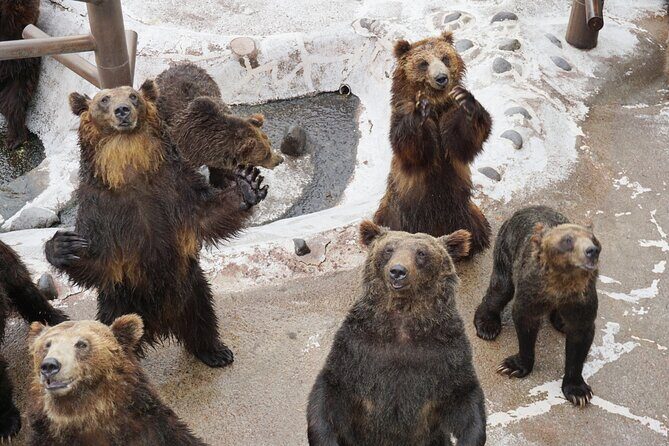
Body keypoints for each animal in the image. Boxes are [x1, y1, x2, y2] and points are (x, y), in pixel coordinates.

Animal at [45, 80, 268, 368]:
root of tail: (161, 325)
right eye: (104, 99)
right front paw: (62, 245)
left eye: (133, 96)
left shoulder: (176, 187)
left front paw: (248, 184)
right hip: (120, 304)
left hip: (192, 289)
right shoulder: (100, 209)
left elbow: (207, 214)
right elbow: (98, 259)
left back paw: (215, 352)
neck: (131, 172)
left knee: (204, 318)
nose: (122, 110)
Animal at [155, 62, 284, 188]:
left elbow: (219, 170)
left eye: (270, 144)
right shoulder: (185, 146)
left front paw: (221, 181)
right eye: (265, 155)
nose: (280, 160)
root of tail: (179, 64)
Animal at [307, 220, 486, 446]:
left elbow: (463, 397)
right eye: (388, 249)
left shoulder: (446, 352)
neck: (402, 323)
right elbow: (331, 391)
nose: (398, 271)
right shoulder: (357, 349)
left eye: (421, 253)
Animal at [373, 31, 492, 258]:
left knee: (475, 225)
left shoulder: (449, 118)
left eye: (445, 58)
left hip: (462, 210)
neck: (437, 105)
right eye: (423, 63)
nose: (441, 78)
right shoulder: (401, 116)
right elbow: (411, 148)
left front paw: (468, 102)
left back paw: (474, 242)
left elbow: (463, 142)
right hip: (397, 214)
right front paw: (420, 110)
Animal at [474, 206, 601, 407]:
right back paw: (488, 325)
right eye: (568, 240)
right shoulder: (533, 290)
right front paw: (513, 366)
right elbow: (525, 321)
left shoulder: (581, 300)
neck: (560, 286)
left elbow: (580, 337)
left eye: (594, 239)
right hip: (505, 249)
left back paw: (560, 322)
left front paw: (578, 391)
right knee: (501, 288)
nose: (591, 250)